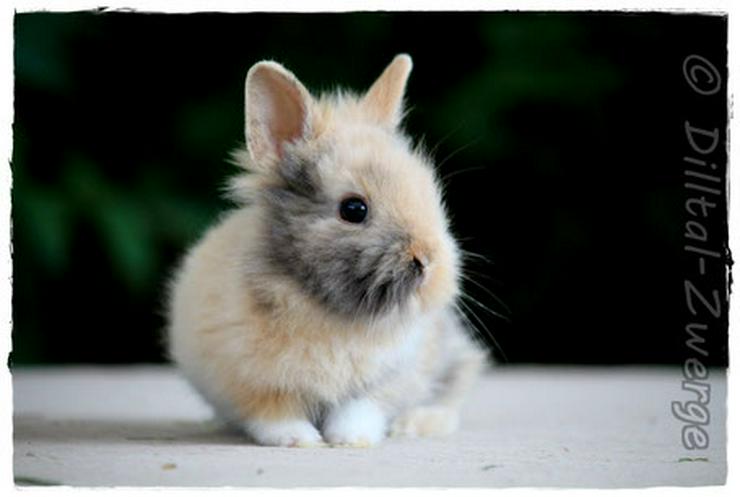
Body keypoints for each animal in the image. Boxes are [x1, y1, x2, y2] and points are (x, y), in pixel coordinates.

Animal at [171, 53, 488, 446]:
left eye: (430, 193)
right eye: (353, 209)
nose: (429, 264)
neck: (329, 309)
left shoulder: (394, 374)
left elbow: (362, 407)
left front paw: (351, 439)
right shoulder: (250, 378)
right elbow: (273, 412)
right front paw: (299, 439)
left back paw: (416, 423)